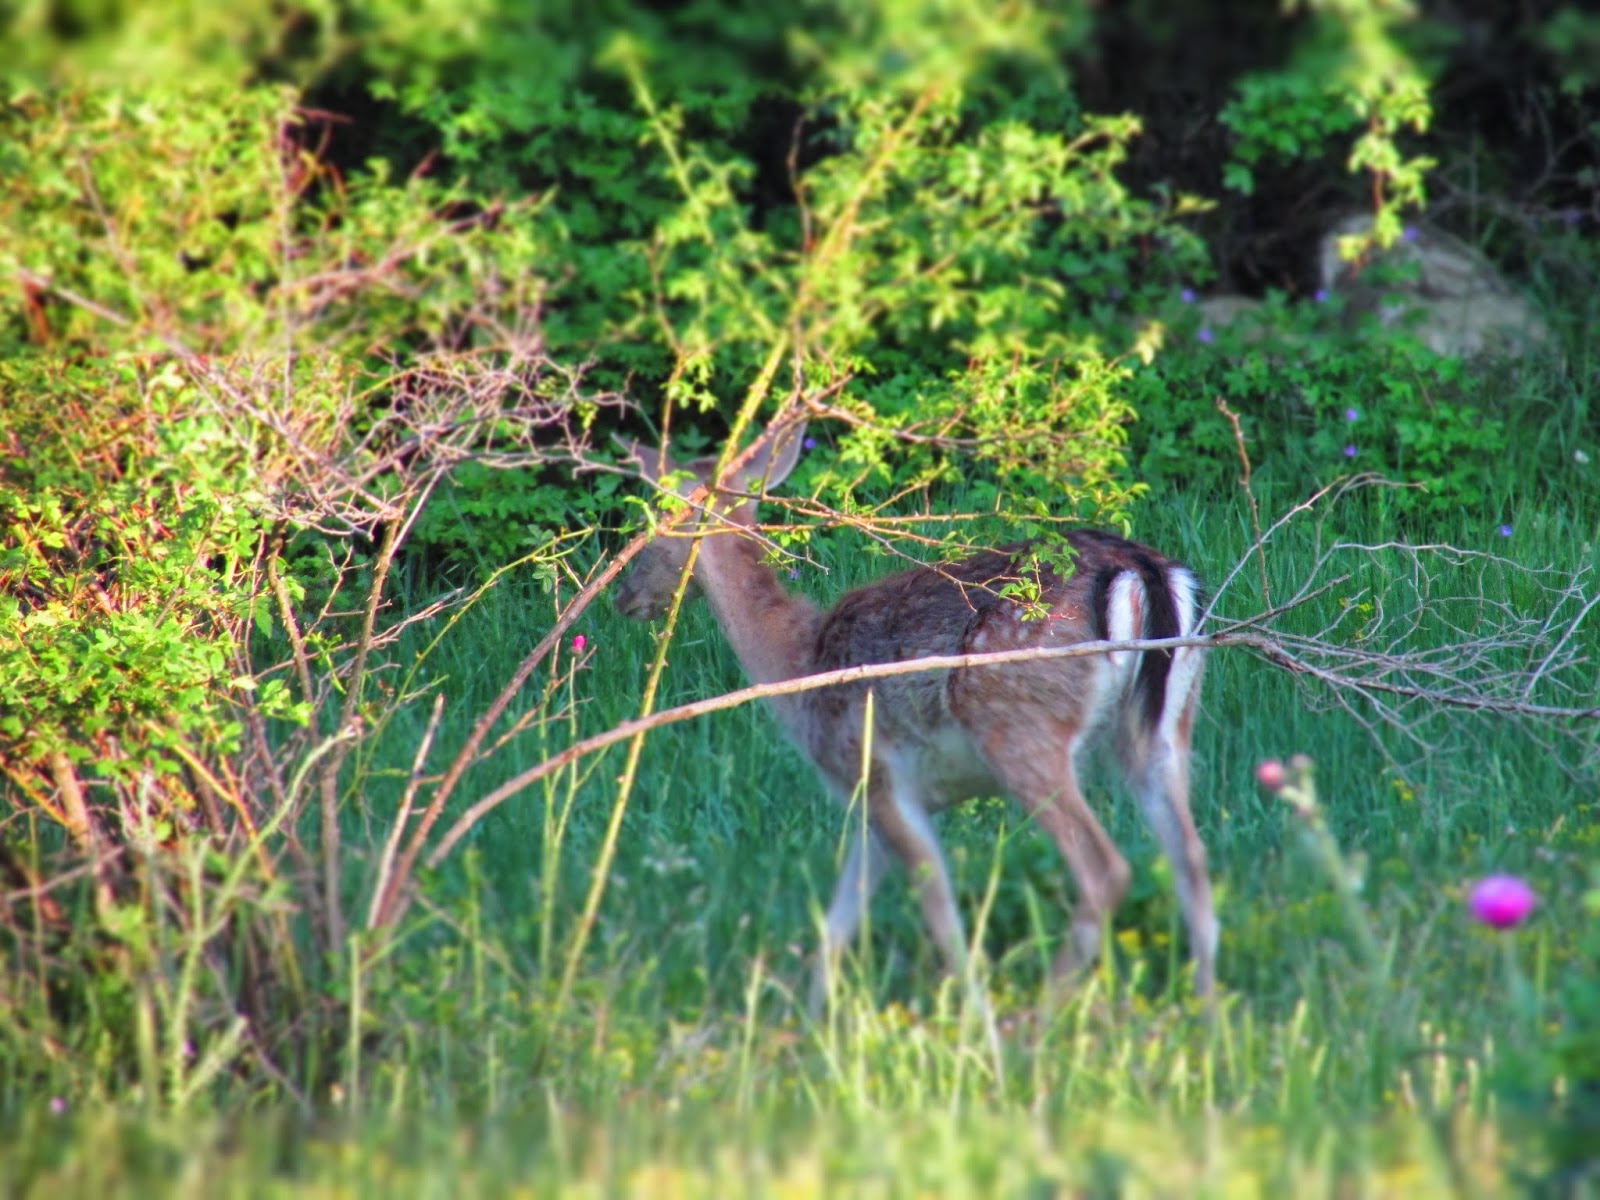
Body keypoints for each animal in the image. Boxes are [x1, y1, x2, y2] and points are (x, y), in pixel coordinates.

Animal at [611, 422, 1209, 1017]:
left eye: (656, 519)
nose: (622, 595)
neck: (797, 663)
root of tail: (1138, 569)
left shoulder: (873, 771)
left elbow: (939, 911)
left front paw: (972, 1021)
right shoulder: (873, 801)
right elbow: (837, 921)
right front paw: (806, 1021)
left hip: (1021, 729)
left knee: (1105, 869)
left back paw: (1038, 1018)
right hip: (1164, 728)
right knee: (1193, 862)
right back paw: (1207, 1018)